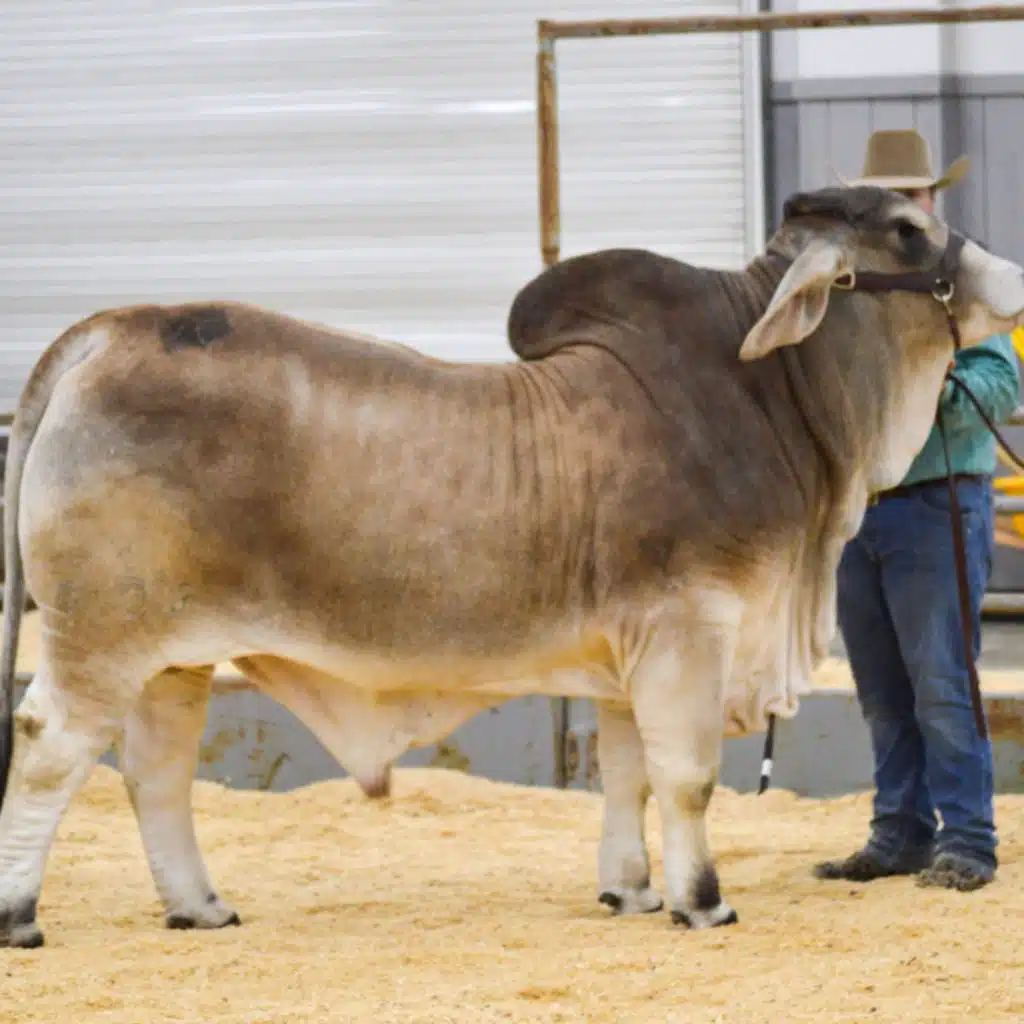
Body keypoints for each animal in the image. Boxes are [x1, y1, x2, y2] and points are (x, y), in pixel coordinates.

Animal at [1, 185, 1023, 949]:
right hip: (100, 639)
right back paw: (21, 915)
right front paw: (702, 901)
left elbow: (627, 775)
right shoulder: (690, 633)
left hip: (173, 658)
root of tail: (109, 331)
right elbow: (687, 776)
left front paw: (631, 892)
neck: (770, 393)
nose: (1010, 273)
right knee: (49, 747)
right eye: (908, 230)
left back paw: (200, 907)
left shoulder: (631, 656)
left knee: (155, 773)